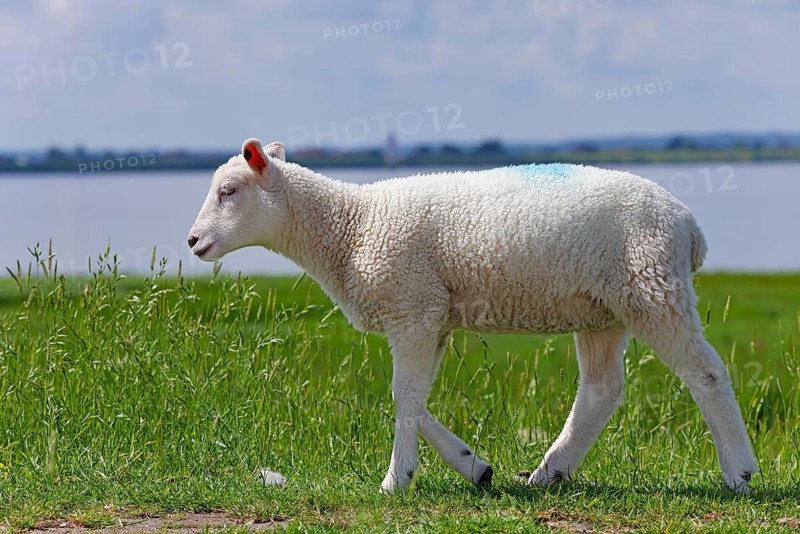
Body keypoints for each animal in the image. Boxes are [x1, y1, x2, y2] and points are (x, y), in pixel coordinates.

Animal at [187, 138, 758, 494]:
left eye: (229, 191)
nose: (192, 241)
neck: (352, 226)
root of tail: (689, 227)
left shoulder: (412, 307)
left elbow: (404, 395)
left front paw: (396, 481)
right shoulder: (432, 314)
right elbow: (414, 399)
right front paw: (474, 467)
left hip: (652, 285)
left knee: (706, 373)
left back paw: (740, 473)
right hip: (605, 308)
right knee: (601, 391)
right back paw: (549, 473)